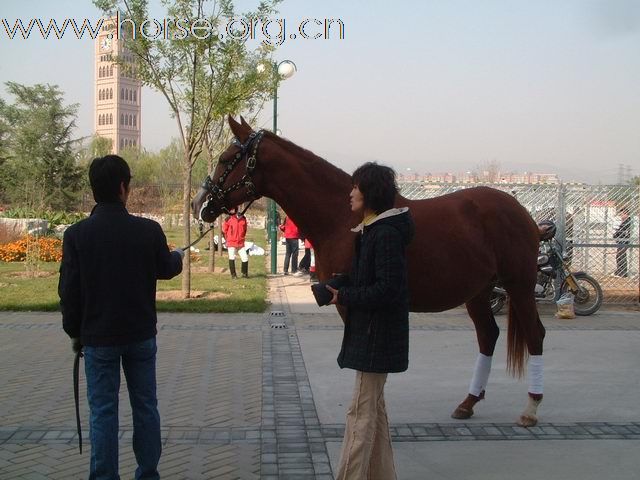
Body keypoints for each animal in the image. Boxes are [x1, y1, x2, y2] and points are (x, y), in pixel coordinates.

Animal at [191, 117, 544, 428]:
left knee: (535, 335)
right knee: (488, 336)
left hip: (520, 286)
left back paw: (530, 408)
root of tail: (522, 212)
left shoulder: (353, 301)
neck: (343, 218)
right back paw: (468, 403)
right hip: (478, 292)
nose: (199, 204)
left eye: (225, 159)